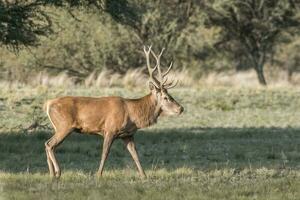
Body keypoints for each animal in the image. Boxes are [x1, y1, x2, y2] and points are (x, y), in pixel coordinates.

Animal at [44, 46, 184, 179]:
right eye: (166, 97)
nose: (181, 108)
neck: (133, 114)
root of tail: (48, 103)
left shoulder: (127, 135)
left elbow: (135, 154)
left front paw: (144, 175)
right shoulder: (110, 129)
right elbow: (105, 153)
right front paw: (98, 175)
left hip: (60, 127)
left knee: (47, 143)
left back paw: (51, 174)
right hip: (64, 125)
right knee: (50, 144)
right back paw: (57, 172)